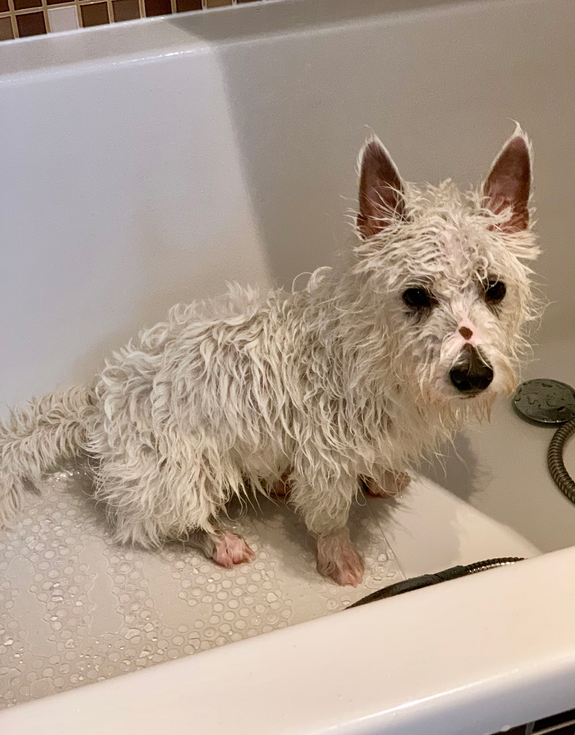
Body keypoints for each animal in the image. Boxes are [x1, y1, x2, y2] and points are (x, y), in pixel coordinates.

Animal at [0, 128, 540, 588]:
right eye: (415, 295)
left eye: (495, 288)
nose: (473, 374)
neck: (375, 358)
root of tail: (96, 405)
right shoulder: (326, 457)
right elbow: (330, 518)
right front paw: (340, 560)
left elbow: (381, 464)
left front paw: (385, 480)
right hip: (181, 472)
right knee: (158, 523)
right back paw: (221, 540)